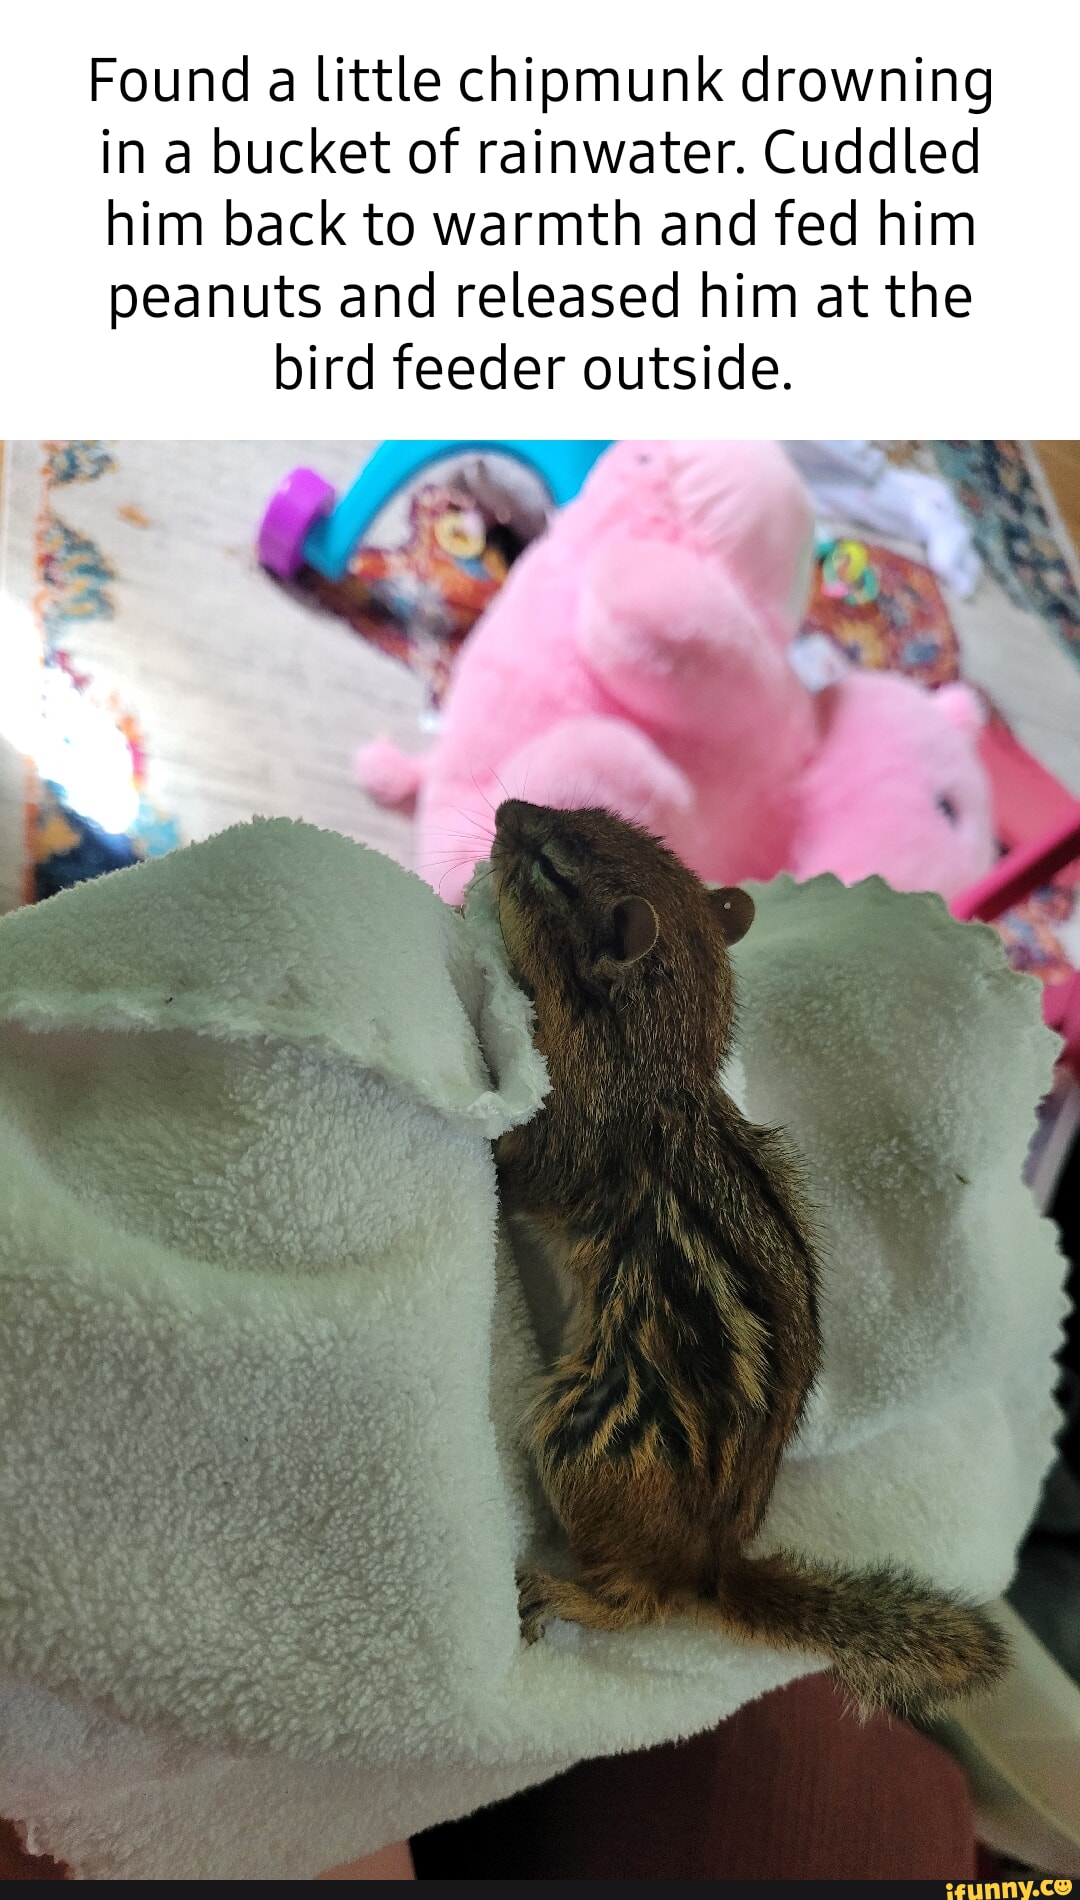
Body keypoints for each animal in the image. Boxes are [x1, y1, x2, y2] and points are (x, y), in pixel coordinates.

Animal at [490, 797, 1008, 1715]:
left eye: (551, 864)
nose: (505, 811)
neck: (659, 1059)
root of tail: (712, 1562)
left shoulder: (573, 1132)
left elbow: (519, 1159)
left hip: (589, 1437)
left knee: (644, 1602)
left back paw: (566, 1592)